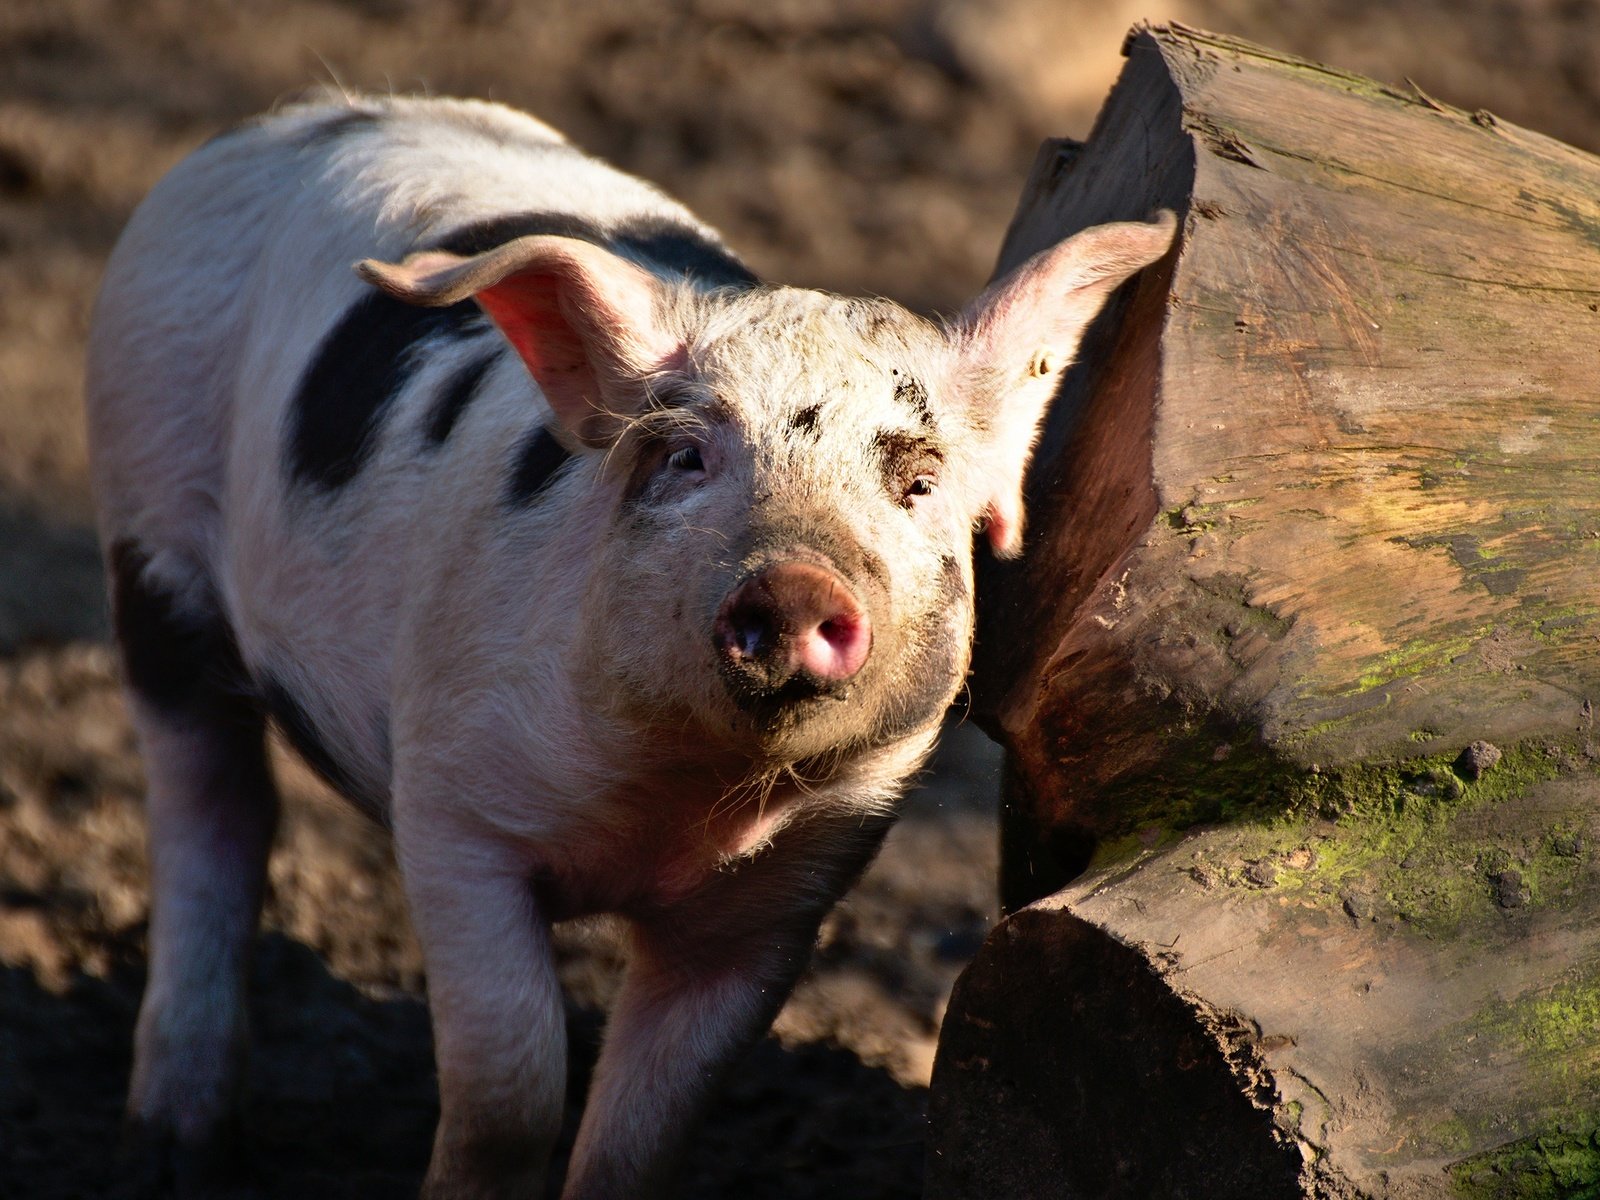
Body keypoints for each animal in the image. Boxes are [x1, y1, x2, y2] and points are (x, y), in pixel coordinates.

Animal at [87, 96, 1177, 1200]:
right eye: (686, 458)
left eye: (917, 484)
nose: (794, 583)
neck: (676, 810)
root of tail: (282, 125)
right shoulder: (453, 813)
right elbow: (510, 1090)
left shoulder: (782, 901)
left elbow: (643, 1135)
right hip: (149, 527)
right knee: (211, 806)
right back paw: (168, 1152)